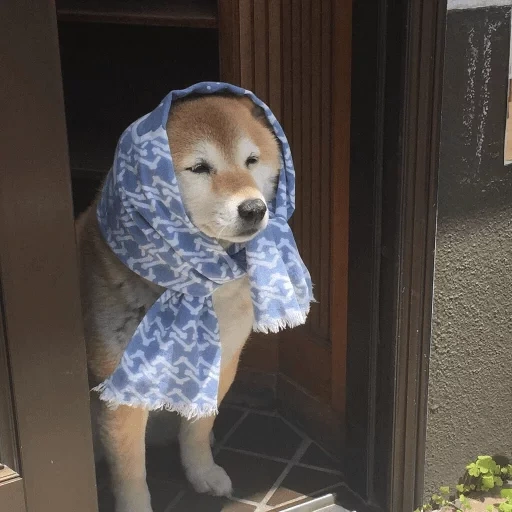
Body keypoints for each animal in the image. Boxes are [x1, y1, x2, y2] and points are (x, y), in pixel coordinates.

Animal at [77, 96, 280, 512]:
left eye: (251, 160)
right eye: (200, 167)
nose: (254, 208)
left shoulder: (220, 364)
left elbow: (197, 430)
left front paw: (202, 471)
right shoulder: (121, 389)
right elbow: (130, 469)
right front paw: (135, 505)